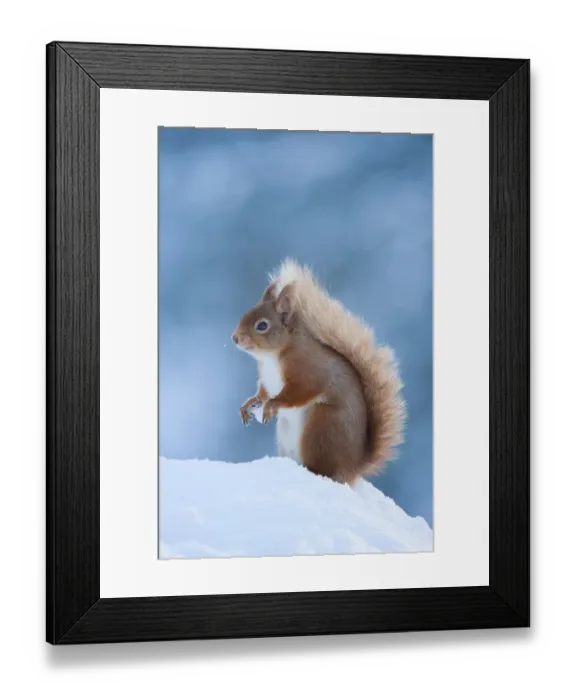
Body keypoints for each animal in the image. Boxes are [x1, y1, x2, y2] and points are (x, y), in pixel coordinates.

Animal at [231, 258, 406, 486]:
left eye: (262, 325)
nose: (235, 338)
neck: (271, 357)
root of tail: (351, 469)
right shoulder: (266, 381)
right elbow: (261, 394)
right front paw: (248, 406)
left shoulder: (307, 370)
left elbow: (300, 391)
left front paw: (271, 406)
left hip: (321, 430)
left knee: (320, 468)